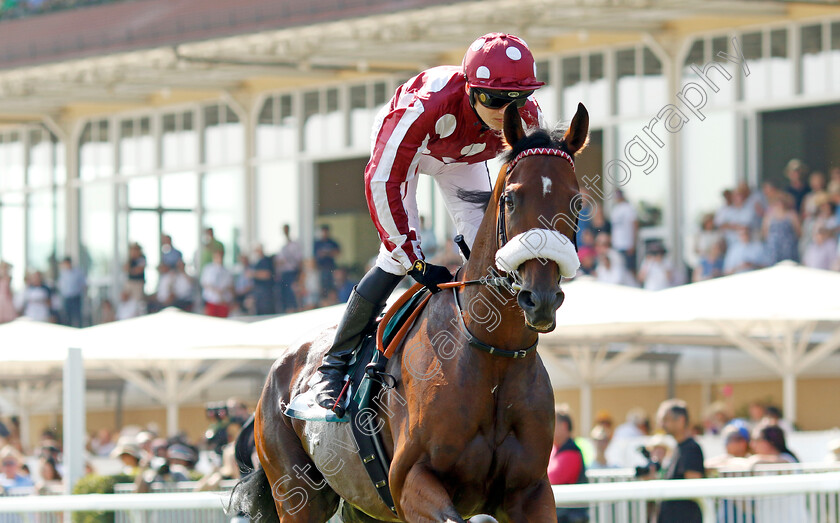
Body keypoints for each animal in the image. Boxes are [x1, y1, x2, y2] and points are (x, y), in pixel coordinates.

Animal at [235, 103, 592, 523]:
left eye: (577, 202)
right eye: (511, 200)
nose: (541, 298)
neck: (492, 352)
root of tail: (282, 365)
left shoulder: (530, 490)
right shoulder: (410, 480)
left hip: (362, 505)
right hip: (296, 493)